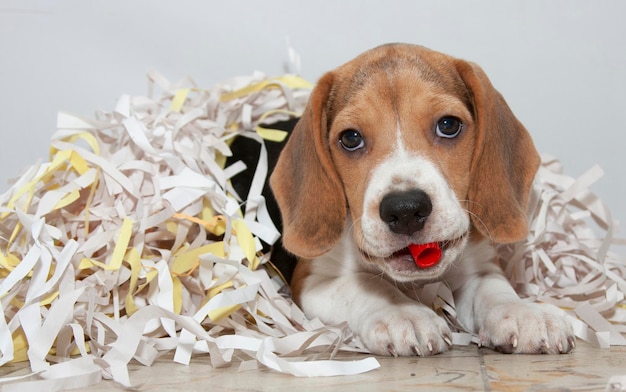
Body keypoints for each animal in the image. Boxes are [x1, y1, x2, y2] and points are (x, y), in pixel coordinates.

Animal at [268, 44, 572, 356]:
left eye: (448, 125)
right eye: (351, 138)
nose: (405, 210)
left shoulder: (479, 267)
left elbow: (493, 288)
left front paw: (522, 312)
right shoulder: (311, 281)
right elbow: (365, 284)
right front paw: (401, 312)